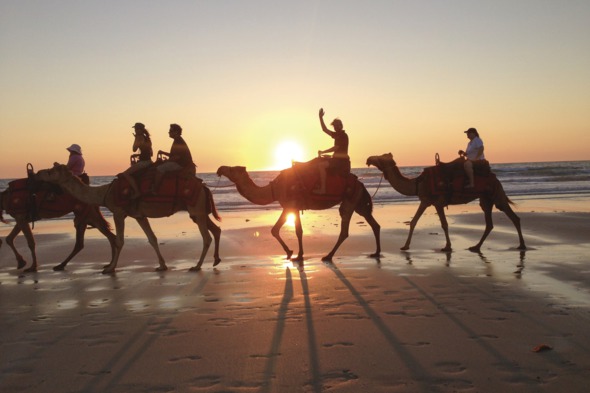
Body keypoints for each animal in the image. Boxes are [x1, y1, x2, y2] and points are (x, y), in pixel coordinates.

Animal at [37, 163, 222, 272]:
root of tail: (204, 187)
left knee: (206, 237)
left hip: (197, 209)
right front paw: (162, 265)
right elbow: (152, 239)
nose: (38, 172)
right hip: (199, 212)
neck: (105, 193)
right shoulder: (139, 215)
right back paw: (216, 260)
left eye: (51, 171)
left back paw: (197, 266)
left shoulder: (118, 212)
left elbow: (119, 241)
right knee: (216, 229)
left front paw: (110, 268)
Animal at [217, 161, 384, 262]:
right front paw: (292, 253)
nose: (220, 169)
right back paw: (376, 252)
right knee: (374, 224)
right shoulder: (290, 207)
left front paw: (296, 255)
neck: (274, 189)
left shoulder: (291, 205)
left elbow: (294, 230)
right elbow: (279, 229)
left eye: (232, 169)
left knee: (345, 230)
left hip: (350, 200)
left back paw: (328, 256)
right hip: (359, 203)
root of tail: (361, 184)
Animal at [368, 152, 528, 251]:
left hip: (496, 195)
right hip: (485, 199)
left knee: (514, 217)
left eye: (381, 157)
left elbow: (444, 224)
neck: (418, 183)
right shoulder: (425, 201)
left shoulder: (438, 202)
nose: (368, 159)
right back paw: (476, 247)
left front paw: (447, 246)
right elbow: (413, 222)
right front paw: (405, 246)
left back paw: (521, 245)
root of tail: (495, 178)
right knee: (490, 223)